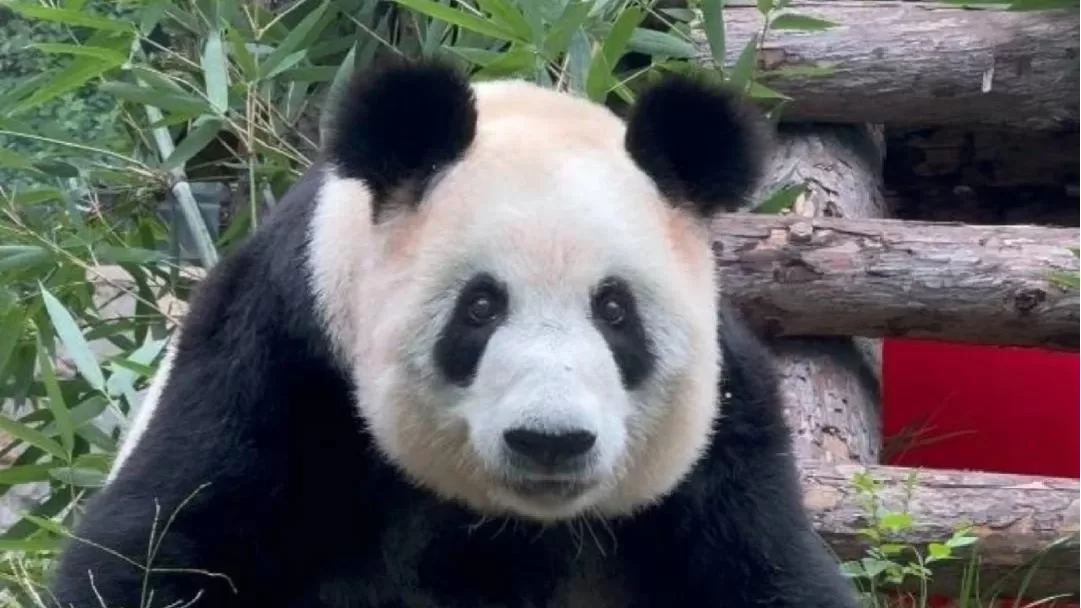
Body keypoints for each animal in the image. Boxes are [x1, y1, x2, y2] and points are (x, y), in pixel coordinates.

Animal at [47, 59, 859, 608]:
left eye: (614, 311)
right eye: (480, 308)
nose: (550, 441)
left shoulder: (725, 438)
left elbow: (768, 572)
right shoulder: (283, 359)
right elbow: (163, 547)